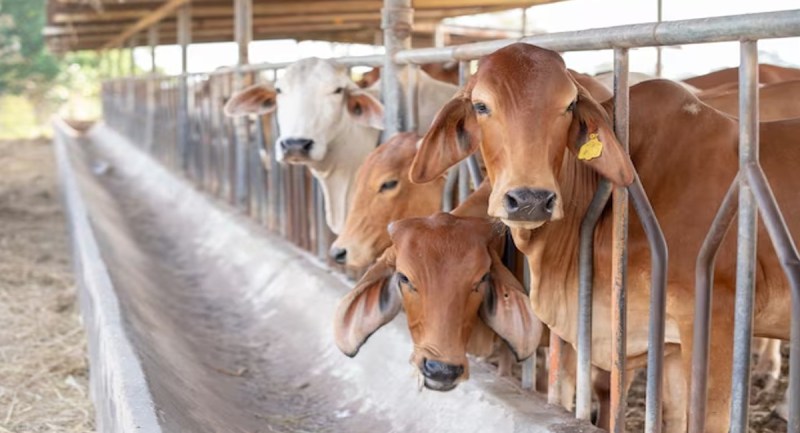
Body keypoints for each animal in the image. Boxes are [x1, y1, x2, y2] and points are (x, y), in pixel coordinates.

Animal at [410, 43, 799, 433]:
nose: (530, 199)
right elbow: (667, 410)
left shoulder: (716, 322)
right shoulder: (666, 343)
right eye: (481, 105)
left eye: (568, 105)